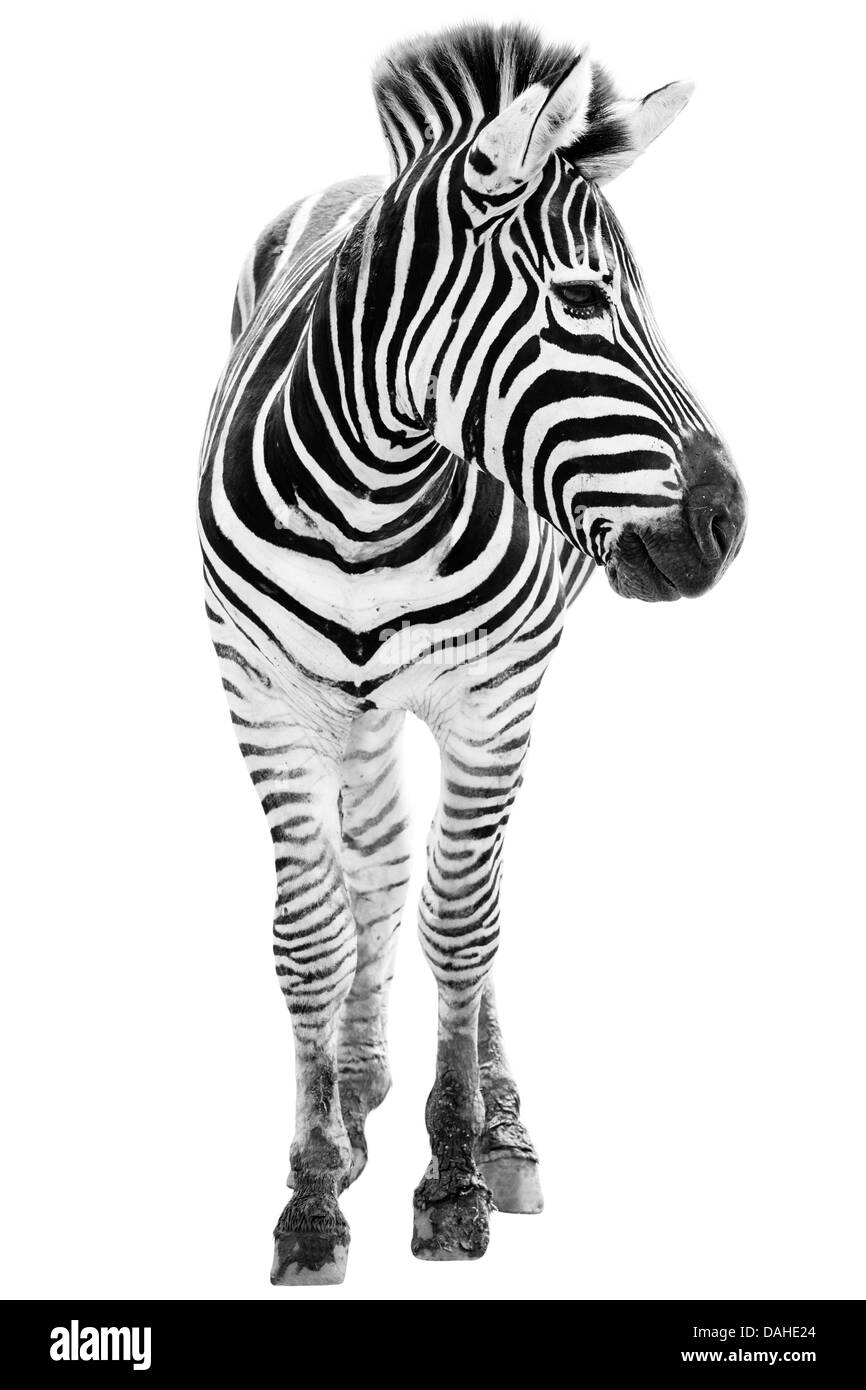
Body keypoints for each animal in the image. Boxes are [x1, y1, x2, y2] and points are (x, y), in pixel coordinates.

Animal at [198, 22, 747, 1285]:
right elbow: (310, 932)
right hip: (351, 704)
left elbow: (463, 923)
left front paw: (451, 1179)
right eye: (581, 298)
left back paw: (500, 1132)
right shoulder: (266, 699)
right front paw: (312, 1193)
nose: (726, 523)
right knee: (382, 865)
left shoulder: (490, 702)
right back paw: (355, 1091)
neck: (366, 492)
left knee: (469, 890)